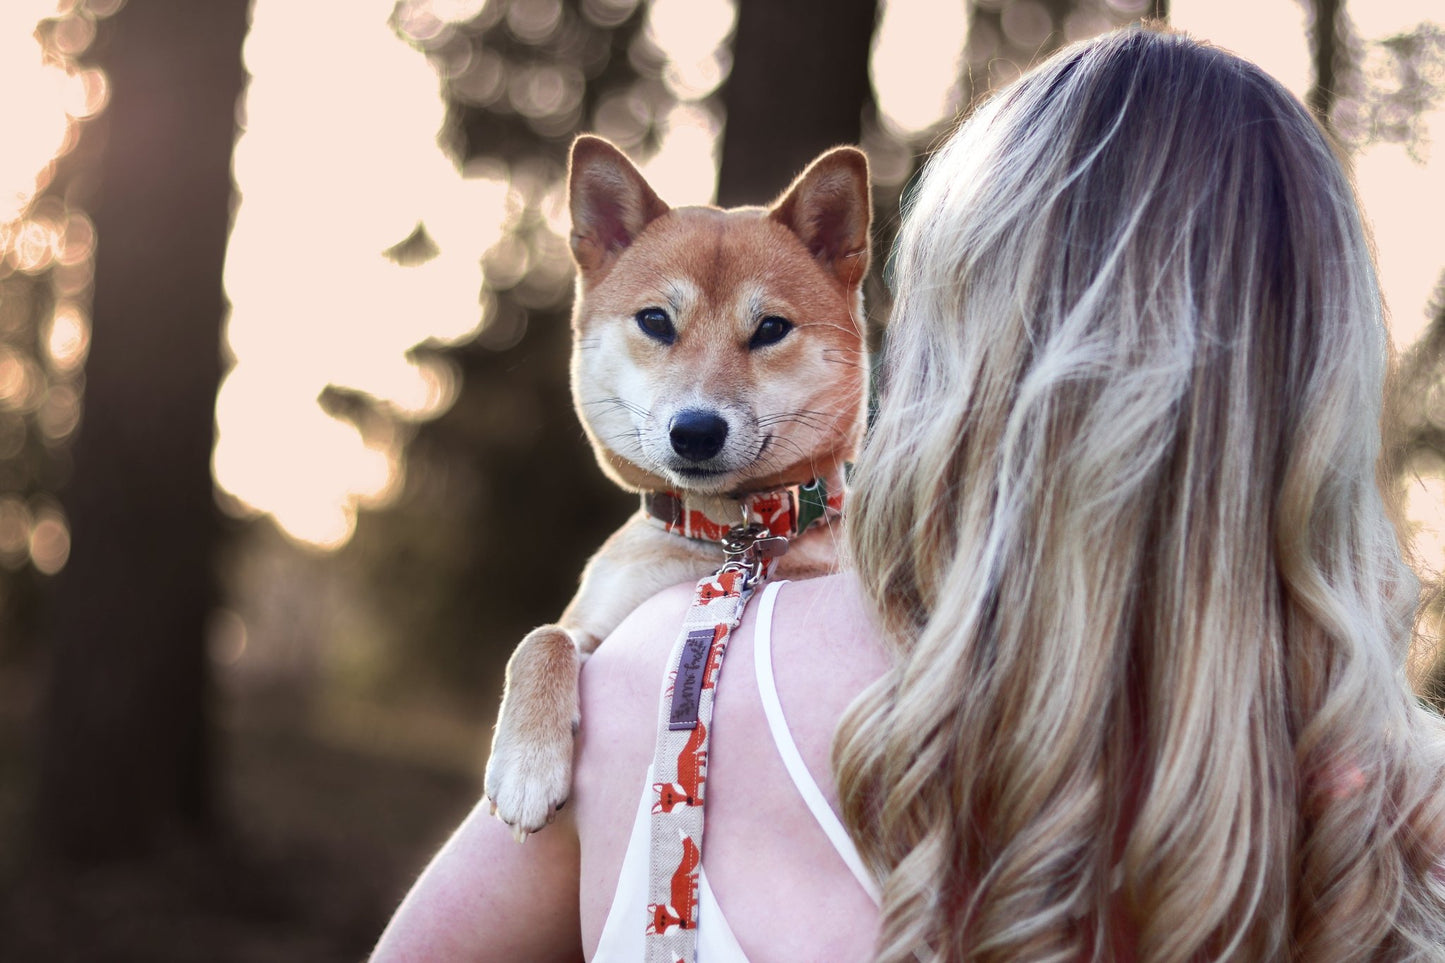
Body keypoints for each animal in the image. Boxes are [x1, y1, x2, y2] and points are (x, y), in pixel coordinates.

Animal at [482, 134, 872, 836]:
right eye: (656, 321)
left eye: (770, 328)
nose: (695, 430)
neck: (730, 537)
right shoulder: (597, 621)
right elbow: (542, 638)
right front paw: (526, 762)